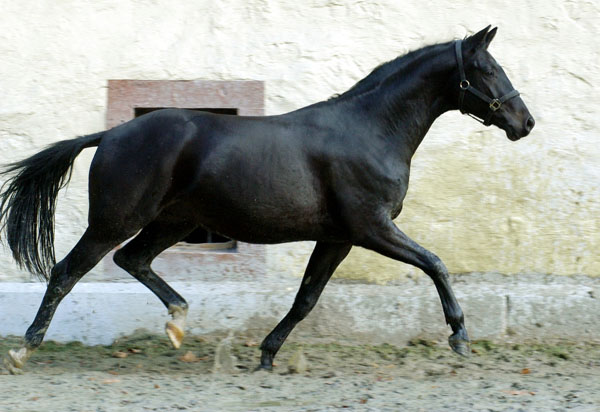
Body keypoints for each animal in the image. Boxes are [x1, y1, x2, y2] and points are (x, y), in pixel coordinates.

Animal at [0, 26, 536, 374]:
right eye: (487, 68)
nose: (524, 122)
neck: (370, 130)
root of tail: (110, 135)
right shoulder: (372, 228)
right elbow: (436, 263)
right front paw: (459, 336)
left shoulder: (339, 238)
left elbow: (305, 299)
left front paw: (266, 354)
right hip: (116, 219)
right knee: (67, 271)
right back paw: (25, 350)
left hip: (171, 223)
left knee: (132, 260)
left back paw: (178, 323)